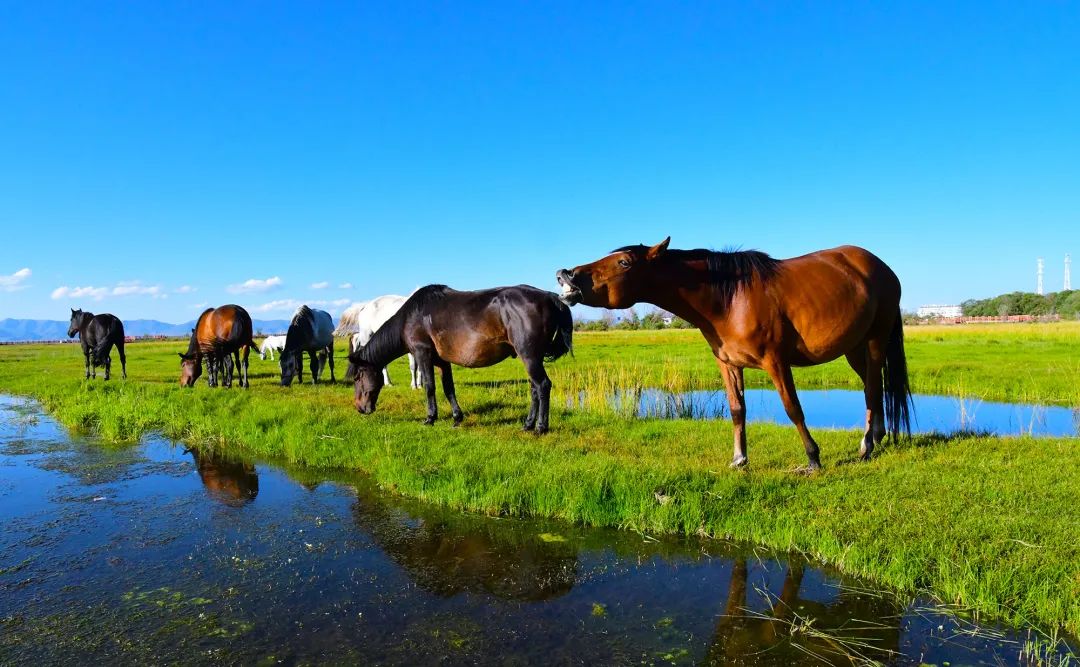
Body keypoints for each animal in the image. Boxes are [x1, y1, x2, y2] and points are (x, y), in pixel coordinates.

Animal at [345, 284, 574, 431]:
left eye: (357, 377)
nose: (360, 408)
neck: (413, 315)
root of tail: (550, 296)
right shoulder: (442, 361)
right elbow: (448, 388)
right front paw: (457, 418)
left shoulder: (422, 354)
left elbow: (429, 387)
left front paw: (430, 418)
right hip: (529, 358)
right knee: (534, 388)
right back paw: (527, 425)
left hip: (530, 356)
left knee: (542, 385)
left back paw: (541, 427)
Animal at [557, 237, 911, 468]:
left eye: (624, 262)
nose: (566, 275)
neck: (729, 299)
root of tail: (882, 267)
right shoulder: (728, 364)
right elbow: (737, 409)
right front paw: (739, 459)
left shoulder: (776, 362)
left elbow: (793, 409)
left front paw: (813, 459)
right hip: (855, 348)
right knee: (873, 387)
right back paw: (875, 439)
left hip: (875, 341)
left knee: (871, 389)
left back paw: (867, 446)